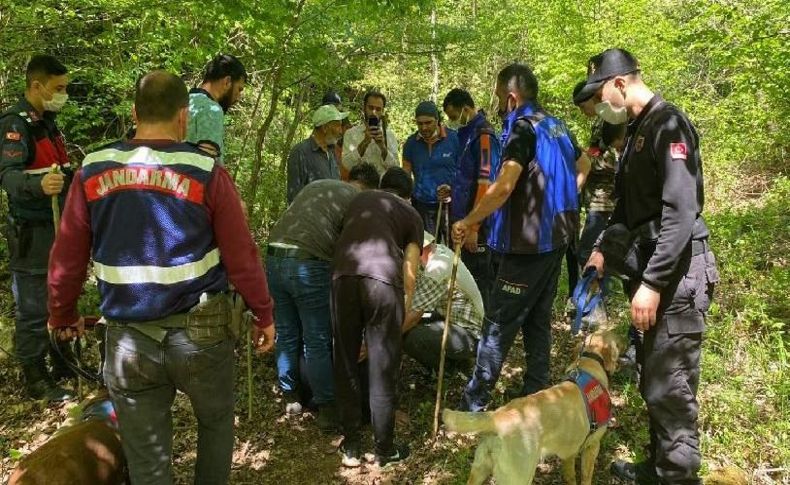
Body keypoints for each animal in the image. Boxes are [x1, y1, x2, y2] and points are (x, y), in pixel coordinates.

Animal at [446, 328, 624, 484]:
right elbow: (586, 477)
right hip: (519, 476)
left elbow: (570, 476)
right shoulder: (592, 446)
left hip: (479, 469)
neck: (590, 362)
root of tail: (497, 416)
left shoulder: (570, 452)